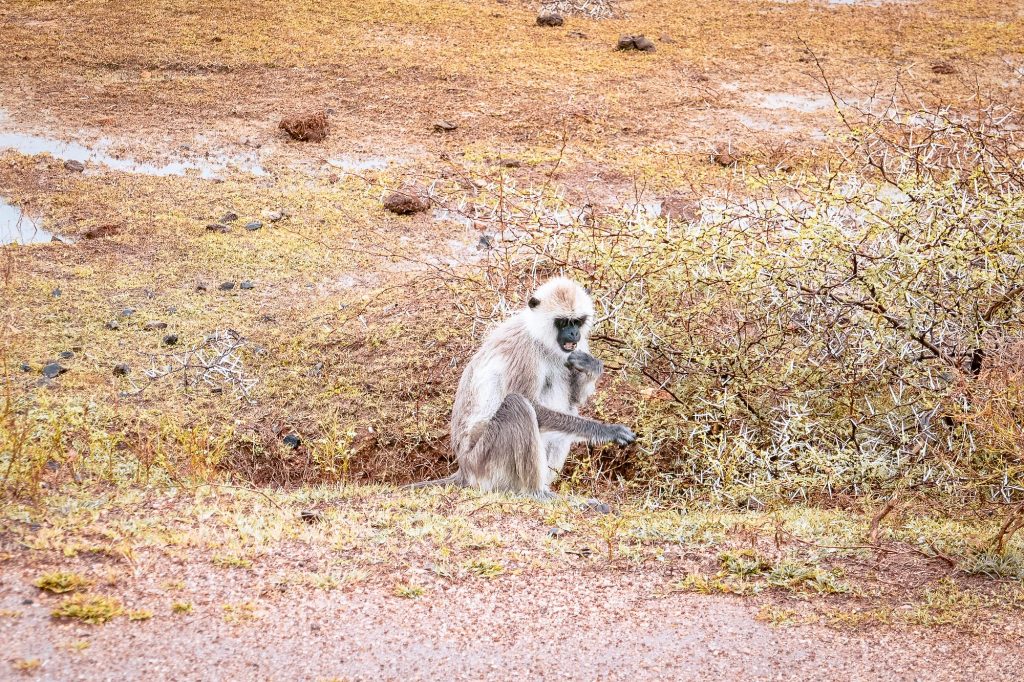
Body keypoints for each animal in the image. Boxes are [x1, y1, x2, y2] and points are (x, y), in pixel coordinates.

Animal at [410, 277, 636, 498]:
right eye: (563, 322)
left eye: (578, 322)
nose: (573, 333)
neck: (539, 337)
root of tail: (463, 468)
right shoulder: (523, 350)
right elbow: (534, 408)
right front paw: (607, 430)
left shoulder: (576, 349)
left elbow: (575, 399)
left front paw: (592, 367)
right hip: (482, 460)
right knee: (517, 405)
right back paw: (537, 493)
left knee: (568, 408)